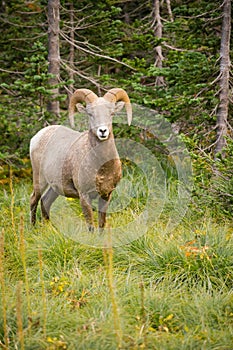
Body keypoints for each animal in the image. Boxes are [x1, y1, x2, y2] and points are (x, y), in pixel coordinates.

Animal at [29, 87, 132, 231]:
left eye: (111, 113)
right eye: (90, 114)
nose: (103, 131)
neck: (101, 168)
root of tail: (37, 136)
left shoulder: (106, 196)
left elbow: (101, 224)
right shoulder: (84, 196)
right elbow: (91, 226)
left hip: (55, 188)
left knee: (45, 202)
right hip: (39, 180)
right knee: (34, 200)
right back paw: (33, 228)